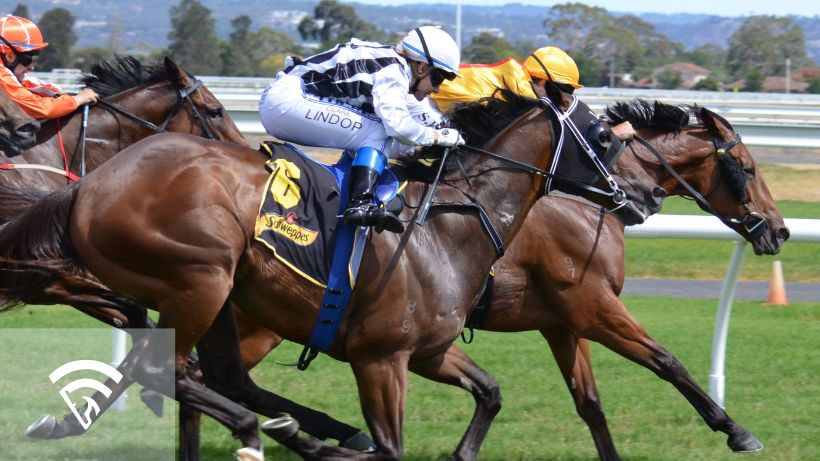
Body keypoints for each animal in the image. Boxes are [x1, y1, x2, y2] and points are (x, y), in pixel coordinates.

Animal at [0, 90, 632, 460]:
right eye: (603, 137)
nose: (629, 198)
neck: (449, 225)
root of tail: (84, 188)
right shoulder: (381, 358)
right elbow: (390, 448)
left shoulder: (426, 353)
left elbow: (491, 393)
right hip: (200, 279)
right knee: (163, 370)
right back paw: (262, 432)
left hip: (217, 294)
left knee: (212, 374)